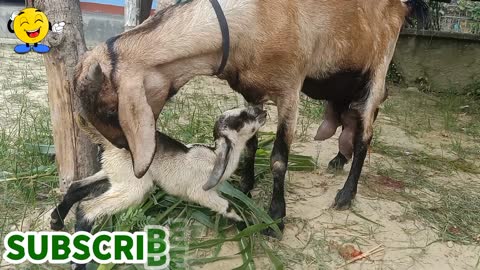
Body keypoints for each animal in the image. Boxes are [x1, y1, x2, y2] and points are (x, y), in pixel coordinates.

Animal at [51, 106, 268, 233]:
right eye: (242, 118)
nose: (263, 111)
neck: (215, 157)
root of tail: (108, 142)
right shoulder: (200, 192)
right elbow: (227, 206)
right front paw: (249, 226)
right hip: (135, 187)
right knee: (86, 208)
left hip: (114, 174)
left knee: (75, 187)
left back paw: (56, 222)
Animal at [74, 0, 428, 233]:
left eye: (110, 109)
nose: (119, 152)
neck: (252, 19)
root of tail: (402, 6)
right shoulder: (251, 92)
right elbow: (250, 145)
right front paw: (245, 188)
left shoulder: (289, 90)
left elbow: (278, 159)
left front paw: (275, 218)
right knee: (349, 116)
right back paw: (339, 158)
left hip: (378, 69)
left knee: (367, 131)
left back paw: (345, 194)